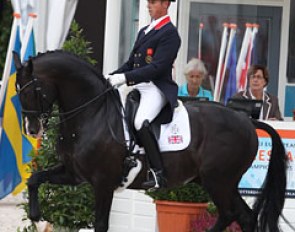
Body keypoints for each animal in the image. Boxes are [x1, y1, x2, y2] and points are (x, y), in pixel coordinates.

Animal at [12, 51, 288, 232]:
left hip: (218, 180)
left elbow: (100, 224)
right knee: (245, 217)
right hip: (221, 181)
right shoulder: (73, 174)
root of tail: (246, 120)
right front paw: (35, 214)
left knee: (230, 214)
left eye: (32, 91)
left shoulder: (103, 182)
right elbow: (34, 179)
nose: (32, 129)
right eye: (17, 91)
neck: (91, 113)